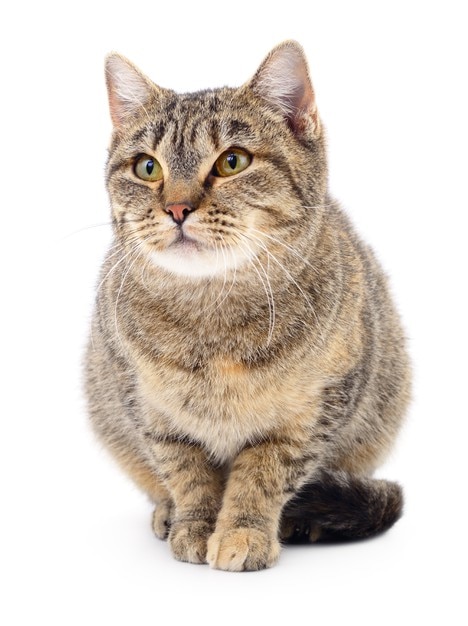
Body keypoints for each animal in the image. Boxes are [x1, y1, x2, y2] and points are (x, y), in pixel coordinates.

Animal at [86, 40, 412, 572]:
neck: (212, 312)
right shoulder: (146, 405)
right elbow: (187, 473)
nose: (176, 208)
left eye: (232, 161)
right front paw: (195, 524)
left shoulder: (311, 412)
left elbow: (262, 476)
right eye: (148, 167)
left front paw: (244, 531)